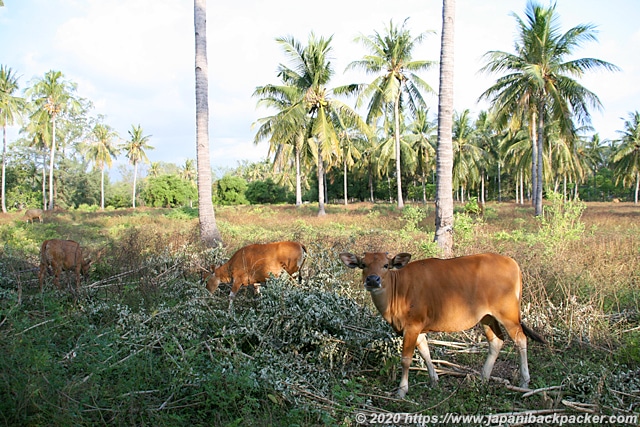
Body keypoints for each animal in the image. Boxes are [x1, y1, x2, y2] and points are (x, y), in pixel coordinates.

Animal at [340, 251, 544, 398]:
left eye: (386, 265)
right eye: (363, 265)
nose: (373, 280)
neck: (397, 292)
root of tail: (512, 263)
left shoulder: (412, 326)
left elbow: (406, 359)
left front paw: (402, 390)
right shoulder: (418, 328)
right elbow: (425, 351)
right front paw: (434, 380)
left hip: (508, 314)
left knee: (520, 340)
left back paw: (524, 381)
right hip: (487, 317)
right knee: (496, 341)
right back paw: (483, 378)